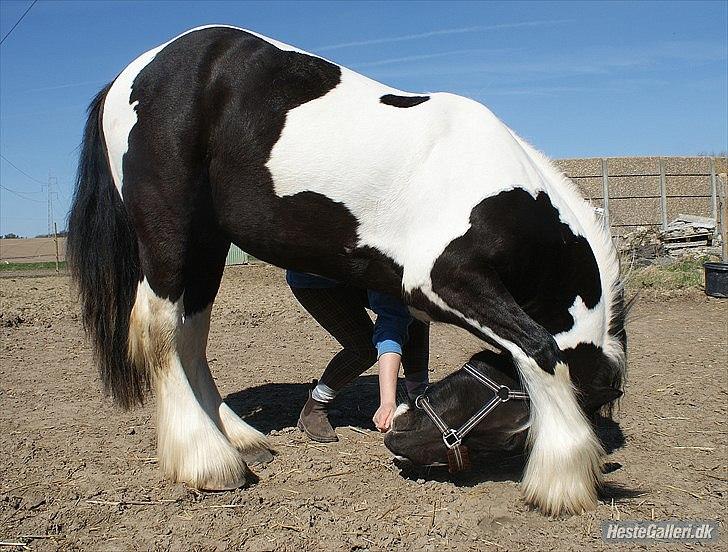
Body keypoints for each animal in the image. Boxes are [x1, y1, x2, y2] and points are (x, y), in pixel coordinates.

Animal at [67, 24, 624, 516]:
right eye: (514, 433)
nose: (402, 438)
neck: (501, 190)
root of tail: (133, 74)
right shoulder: (444, 280)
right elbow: (541, 351)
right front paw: (563, 482)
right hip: (169, 229)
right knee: (160, 329)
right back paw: (207, 463)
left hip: (207, 245)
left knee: (191, 337)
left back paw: (239, 440)